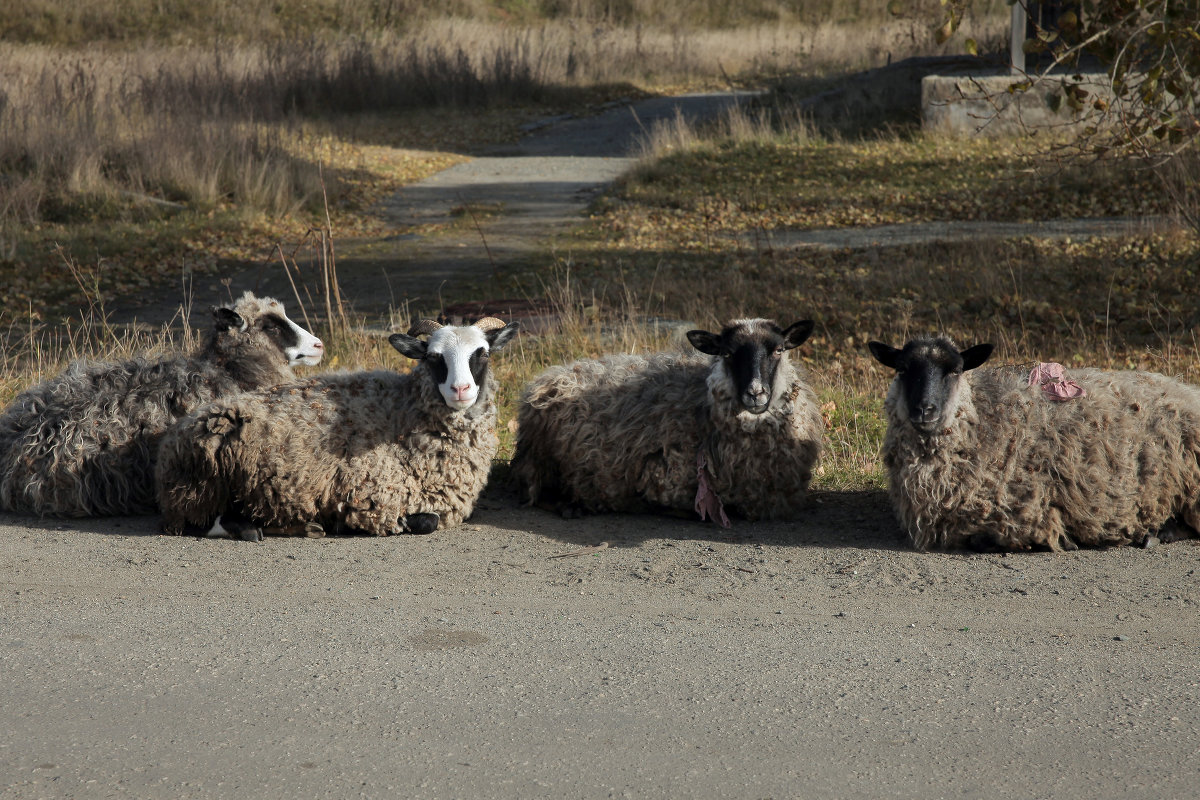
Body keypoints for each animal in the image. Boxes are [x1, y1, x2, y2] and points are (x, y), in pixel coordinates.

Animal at [156, 316, 520, 542]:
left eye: (482, 354)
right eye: (433, 358)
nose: (460, 390)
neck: (401, 409)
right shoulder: (374, 498)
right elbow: (423, 521)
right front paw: (346, 523)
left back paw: (307, 526)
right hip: (210, 482)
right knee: (208, 521)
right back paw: (268, 528)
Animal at [506, 319, 825, 525]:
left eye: (779, 350)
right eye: (727, 353)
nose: (755, 393)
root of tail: (543, 382)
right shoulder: (662, 478)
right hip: (545, 460)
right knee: (536, 491)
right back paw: (572, 506)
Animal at [868, 335, 1200, 551]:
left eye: (955, 370)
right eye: (902, 369)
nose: (924, 409)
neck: (983, 420)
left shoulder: (1025, 513)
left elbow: (985, 539)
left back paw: (1158, 532)